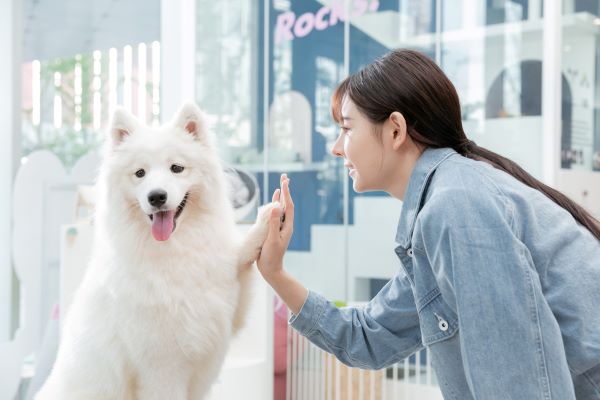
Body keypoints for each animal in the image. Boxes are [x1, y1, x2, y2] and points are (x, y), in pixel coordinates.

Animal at [33, 103, 276, 400]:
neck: (175, 250)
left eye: (177, 168)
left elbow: (239, 256)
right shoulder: (161, 368)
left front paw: (269, 216)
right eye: (140, 173)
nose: (157, 196)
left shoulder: (228, 313)